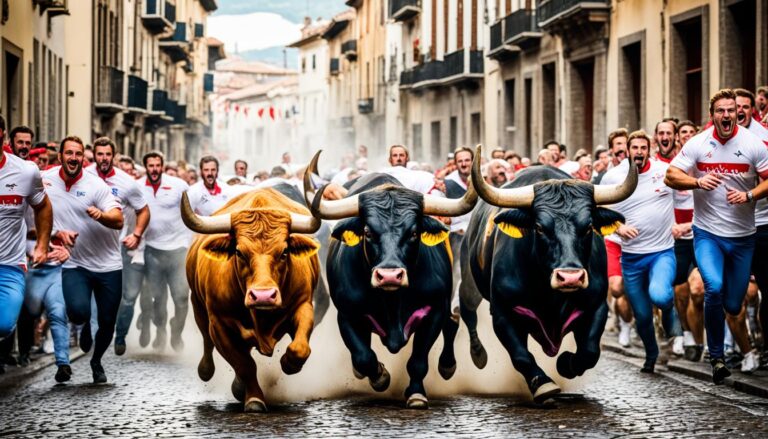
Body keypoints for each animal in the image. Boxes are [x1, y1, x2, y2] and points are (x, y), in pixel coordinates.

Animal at [182, 188, 320, 412]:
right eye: (239, 252)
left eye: (284, 251)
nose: (263, 296)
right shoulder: (218, 324)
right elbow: (244, 365)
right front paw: (254, 399)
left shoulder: (304, 306)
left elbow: (299, 348)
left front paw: (288, 363)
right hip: (198, 308)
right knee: (207, 343)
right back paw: (208, 371)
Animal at [460, 160, 640, 404]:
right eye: (539, 227)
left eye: (587, 227)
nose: (570, 277)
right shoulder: (503, 312)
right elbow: (521, 355)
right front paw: (543, 384)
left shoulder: (596, 307)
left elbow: (589, 352)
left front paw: (565, 364)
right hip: (469, 284)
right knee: (467, 311)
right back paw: (476, 355)